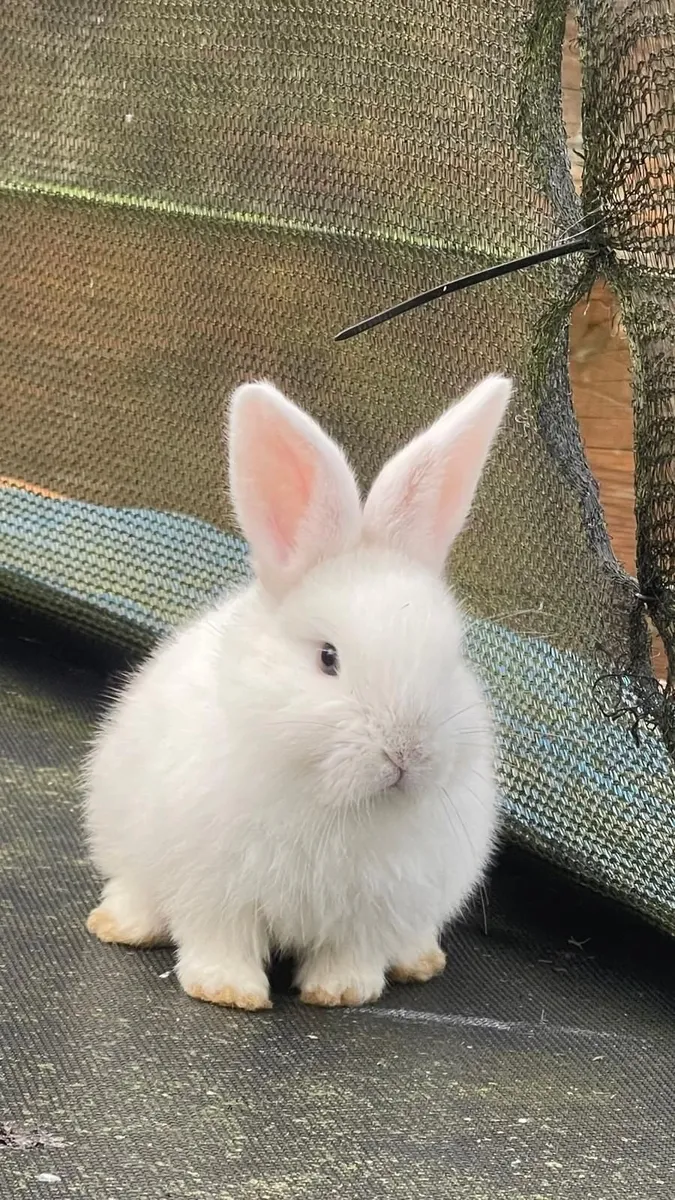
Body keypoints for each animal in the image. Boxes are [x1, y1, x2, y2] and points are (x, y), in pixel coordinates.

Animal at [84, 373, 511, 1011]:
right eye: (327, 658)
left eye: (451, 656)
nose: (408, 754)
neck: (338, 802)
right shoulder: (215, 890)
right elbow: (220, 939)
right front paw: (226, 990)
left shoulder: (373, 914)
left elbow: (350, 954)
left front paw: (341, 993)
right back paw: (120, 925)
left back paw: (419, 960)